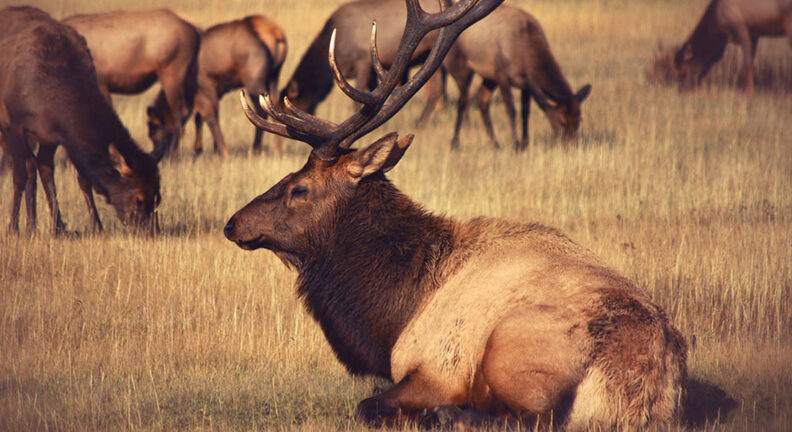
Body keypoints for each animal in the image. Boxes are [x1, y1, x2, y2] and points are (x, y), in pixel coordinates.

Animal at [0, 6, 161, 235]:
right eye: (139, 199)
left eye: (158, 197)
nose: (152, 231)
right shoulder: (14, 125)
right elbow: (19, 176)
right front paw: (13, 228)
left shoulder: (56, 135)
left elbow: (81, 178)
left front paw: (95, 225)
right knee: (28, 168)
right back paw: (30, 226)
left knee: (40, 167)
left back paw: (52, 226)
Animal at [443, 3, 591, 151]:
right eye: (562, 121)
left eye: (579, 120)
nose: (571, 145)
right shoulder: (502, 75)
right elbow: (511, 111)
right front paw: (515, 145)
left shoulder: (526, 83)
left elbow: (525, 112)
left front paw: (525, 144)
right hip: (462, 66)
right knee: (462, 101)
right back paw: (454, 143)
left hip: (489, 77)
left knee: (481, 98)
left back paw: (494, 143)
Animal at [648, 0, 792, 95]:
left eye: (683, 73)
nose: (682, 90)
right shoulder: (754, 33)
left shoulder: (741, 27)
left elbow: (747, 63)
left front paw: (749, 94)